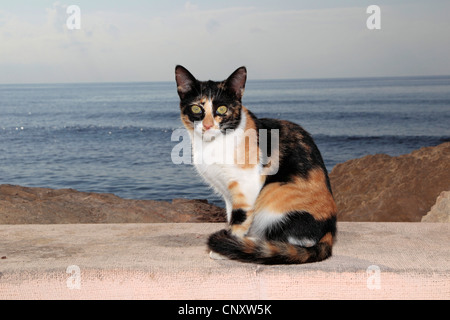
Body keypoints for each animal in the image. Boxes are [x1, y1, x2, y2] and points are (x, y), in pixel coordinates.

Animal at [174, 65, 336, 264]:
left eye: (222, 108)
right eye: (196, 108)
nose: (208, 126)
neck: (213, 144)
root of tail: (329, 233)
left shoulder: (247, 184)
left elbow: (240, 218)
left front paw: (225, 246)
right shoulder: (228, 194)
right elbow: (231, 215)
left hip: (274, 194)